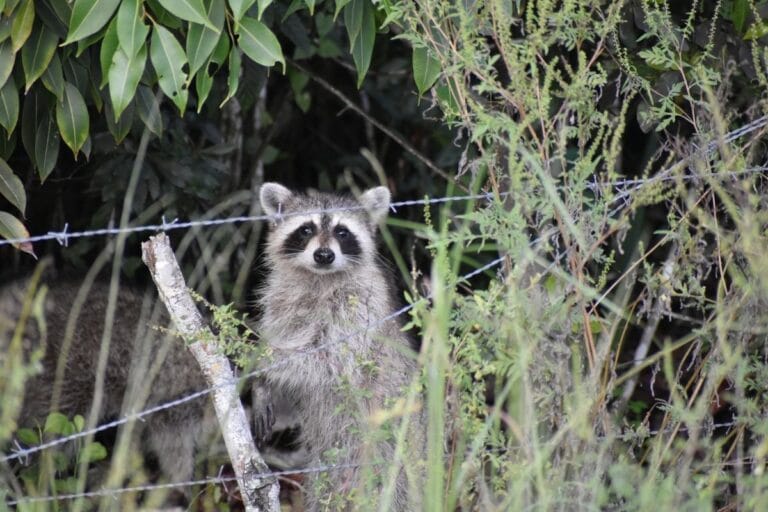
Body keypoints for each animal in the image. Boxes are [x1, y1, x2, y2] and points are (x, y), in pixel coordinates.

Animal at [255, 183, 424, 511]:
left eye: (342, 232)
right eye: (306, 229)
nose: (324, 255)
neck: (319, 279)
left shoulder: (361, 306)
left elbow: (332, 360)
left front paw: (259, 363)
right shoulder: (282, 303)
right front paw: (262, 383)